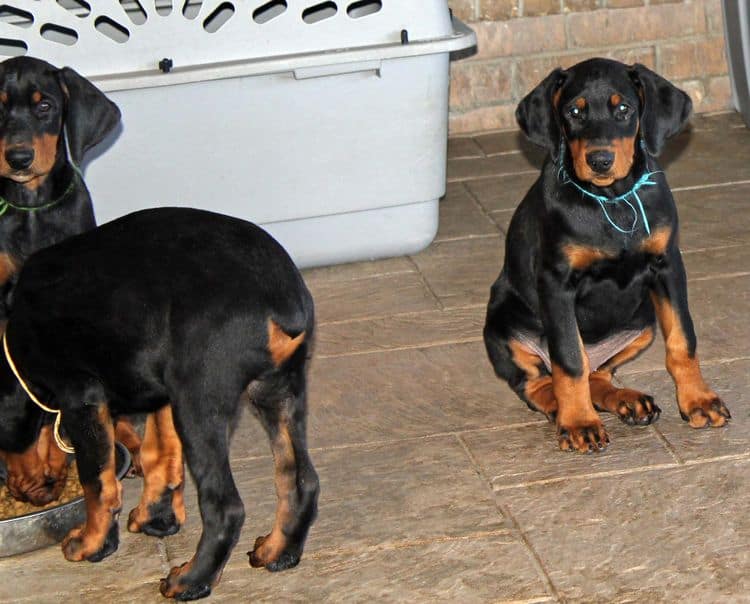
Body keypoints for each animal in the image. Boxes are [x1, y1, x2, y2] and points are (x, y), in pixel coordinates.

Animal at [0, 206, 320, 600]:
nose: (21, 495)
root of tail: (280, 301)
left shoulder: (81, 395)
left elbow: (97, 481)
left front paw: (91, 544)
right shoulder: (163, 396)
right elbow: (160, 457)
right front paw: (156, 518)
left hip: (200, 403)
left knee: (225, 508)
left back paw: (190, 581)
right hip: (277, 392)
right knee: (300, 479)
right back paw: (278, 551)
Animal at [484, 57, 732, 452]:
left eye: (624, 109)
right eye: (573, 111)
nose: (599, 159)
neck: (613, 200)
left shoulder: (668, 266)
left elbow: (683, 339)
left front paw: (698, 401)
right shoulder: (556, 283)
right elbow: (570, 360)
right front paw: (579, 423)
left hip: (642, 321)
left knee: (597, 374)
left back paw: (627, 400)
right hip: (502, 322)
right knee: (541, 381)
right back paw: (563, 409)